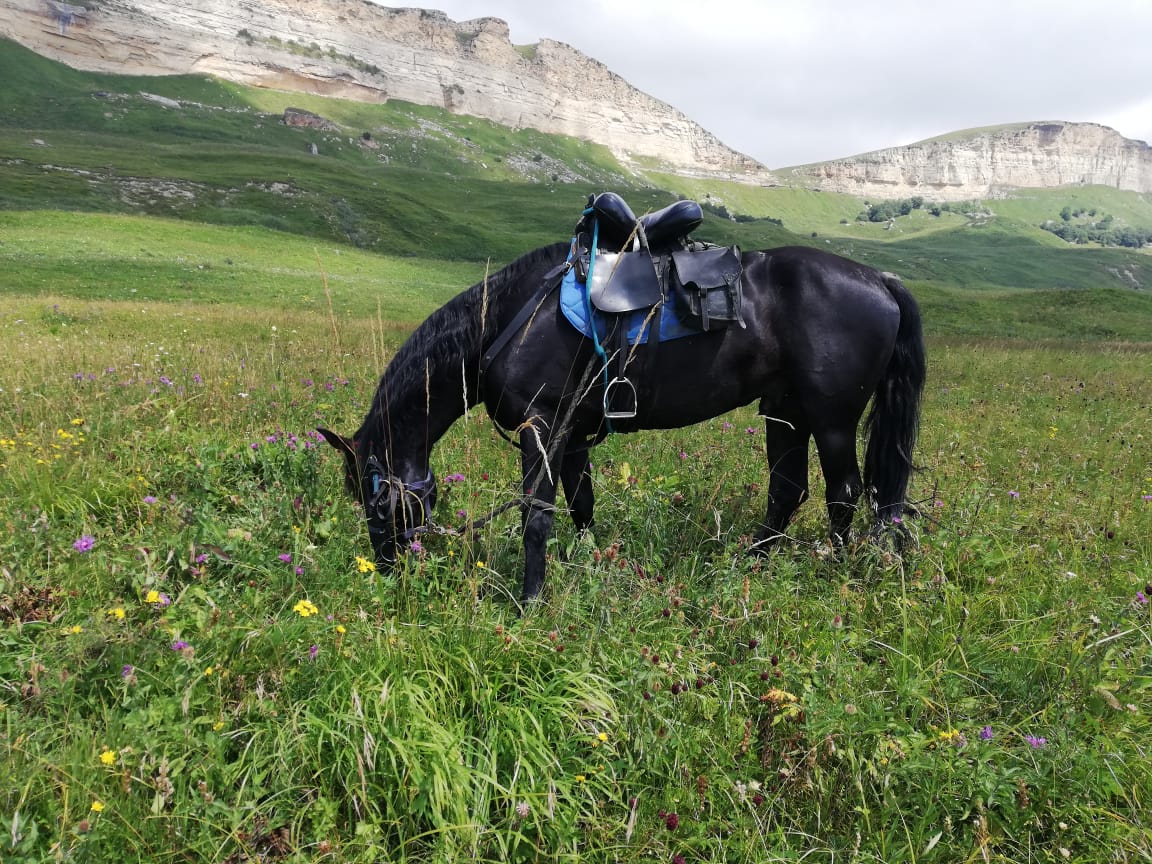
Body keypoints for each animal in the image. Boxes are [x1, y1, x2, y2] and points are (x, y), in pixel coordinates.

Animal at [317, 240, 926, 599]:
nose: (388, 570)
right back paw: (748, 566)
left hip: (831, 419)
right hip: (787, 411)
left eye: (376, 499)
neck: (510, 319)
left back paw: (831, 575)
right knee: (787, 490)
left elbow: (536, 516)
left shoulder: (542, 427)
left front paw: (529, 601)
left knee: (843, 494)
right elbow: (581, 506)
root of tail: (880, 279)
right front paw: (589, 565)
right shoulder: (572, 437)